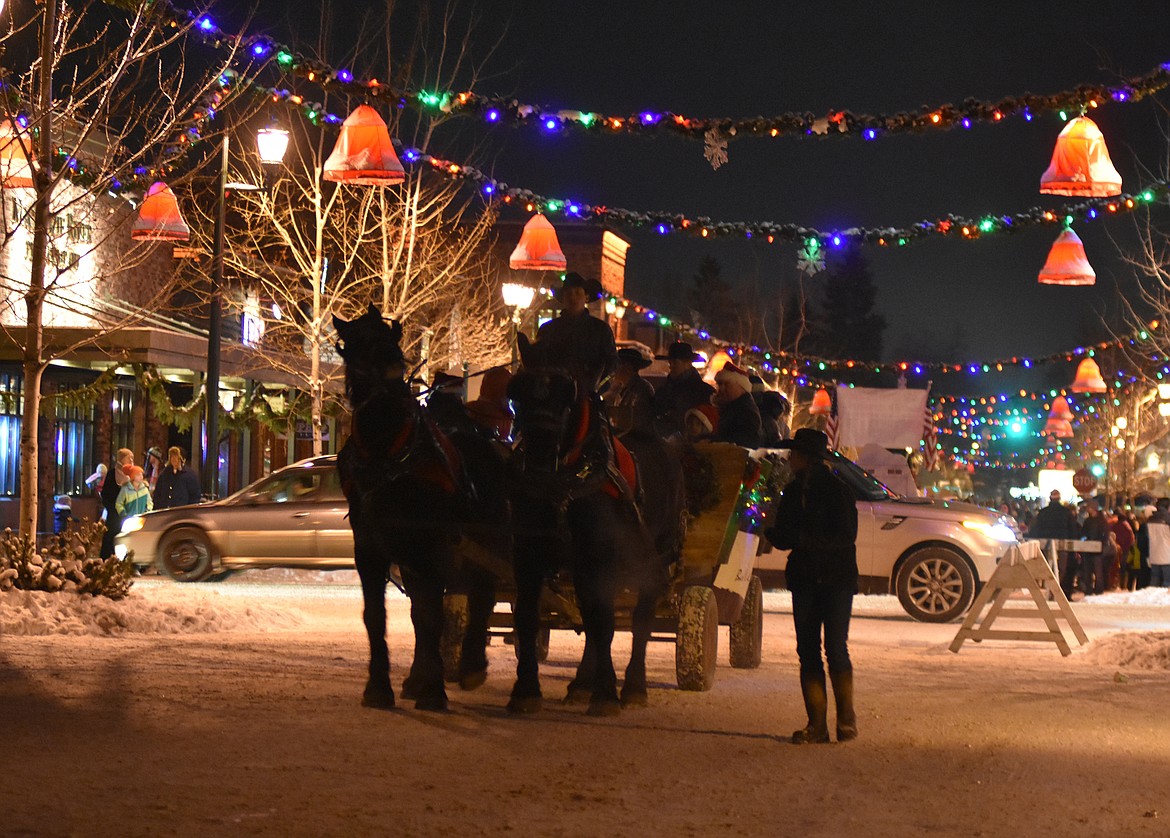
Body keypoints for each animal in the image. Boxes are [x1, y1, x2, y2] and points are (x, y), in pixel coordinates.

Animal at [334, 304, 507, 711]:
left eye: (392, 340)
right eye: (351, 343)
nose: (389, 379)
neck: (387, 453)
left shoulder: (433, 545)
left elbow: (432, 617)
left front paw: (433, 690)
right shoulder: (370, 547)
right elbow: (377, 616)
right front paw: (380, 687)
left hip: (484, 541)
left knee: (483, 594)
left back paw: (471, 665)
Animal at [503, 332, 683, 711]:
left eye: (566, 392)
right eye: (518, 390)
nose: (538, 462)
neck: (566, 479)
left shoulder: (600, 559)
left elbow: (604, 624)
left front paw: (606, 693)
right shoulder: (529, 553)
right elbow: (528, 616)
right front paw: (526, 690)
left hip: (653, 558)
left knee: (640, 619)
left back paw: (633, 686)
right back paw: (582, 684)